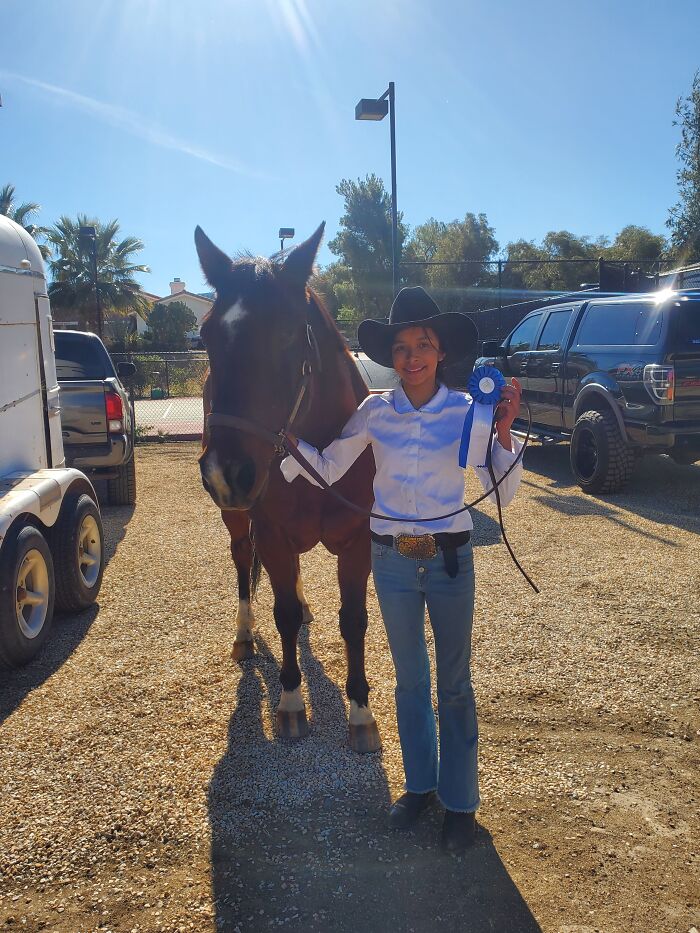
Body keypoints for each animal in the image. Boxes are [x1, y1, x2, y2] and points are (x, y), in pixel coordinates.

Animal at [196, 223, 380, 753]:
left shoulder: (358, 541)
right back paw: (244, 633)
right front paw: (292, 703)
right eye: (206, 335)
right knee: (242, 562)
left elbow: (353, 619)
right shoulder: (273, 537)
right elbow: (282, 617)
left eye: (287, 334)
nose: (226, 472)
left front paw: (360, 711)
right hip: (236, 518)